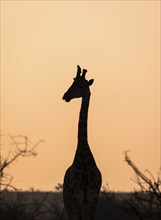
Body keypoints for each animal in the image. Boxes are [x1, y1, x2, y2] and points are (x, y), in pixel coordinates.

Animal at [62, 65, 101, 220]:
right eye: (72, 82)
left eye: (80, 85)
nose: (65, 96)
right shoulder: (77, 198)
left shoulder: (93, 198)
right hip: (68, 202)